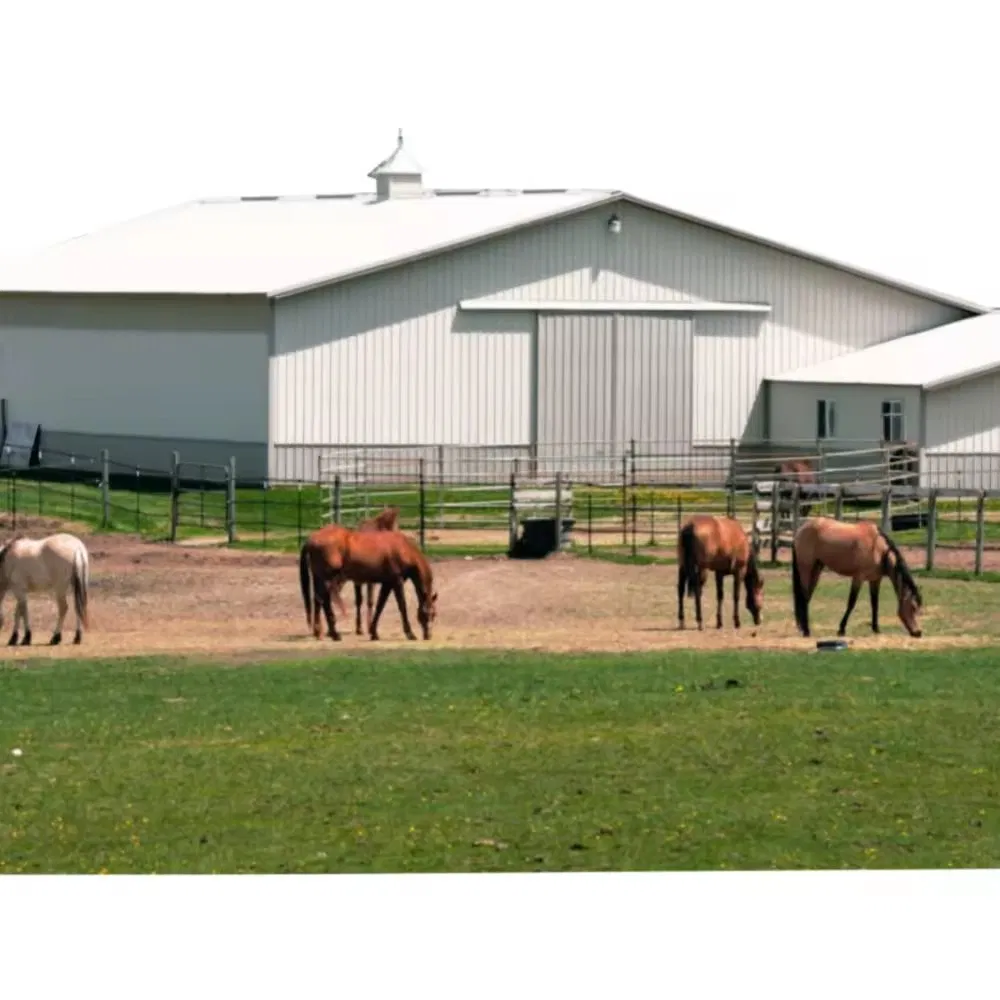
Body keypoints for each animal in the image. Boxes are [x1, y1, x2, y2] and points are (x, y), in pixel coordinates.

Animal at [299, 527, 437, 642]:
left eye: (434, 614)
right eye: (426, 613)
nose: (428, 635)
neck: (402, 548)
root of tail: (311, 539)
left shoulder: (387, 584)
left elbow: (380, 606)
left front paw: (374, 632)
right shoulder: (396, 582)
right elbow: (402, 606)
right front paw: (410, 633)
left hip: (320, 579)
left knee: (319, 600)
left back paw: (320, 632)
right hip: (328, 580)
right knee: (323, 601)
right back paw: (333, 634)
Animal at [790, 517, 923, 638]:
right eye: (913, 607)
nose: (918, 632)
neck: (877, 548)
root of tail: (801, 530)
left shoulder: (875, 580)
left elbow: (875, 604)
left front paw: (876, 629)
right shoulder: (858, 578)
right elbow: (851, 602)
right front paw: (841, 629)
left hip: (816, 569)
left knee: (807, 597)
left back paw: (803, 628)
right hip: (806, 568)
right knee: (804, 596)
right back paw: (806, 631)